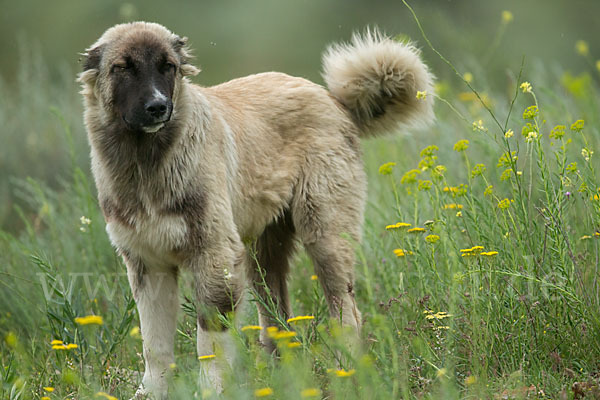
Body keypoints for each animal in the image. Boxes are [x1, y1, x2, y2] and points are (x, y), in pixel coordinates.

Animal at [79, 22, 434, 400]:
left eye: (168, 66)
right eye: (123, 67)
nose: (159, 107)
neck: (147, 163)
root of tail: (331, 99)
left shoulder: (215, 256)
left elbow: (211, 341)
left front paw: (212, 390)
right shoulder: (148, 265)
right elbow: (155, 343)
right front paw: (152, 392)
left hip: (325, 237)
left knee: (346, 312)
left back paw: (346, 374)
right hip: (263, 255)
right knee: (277, 319)